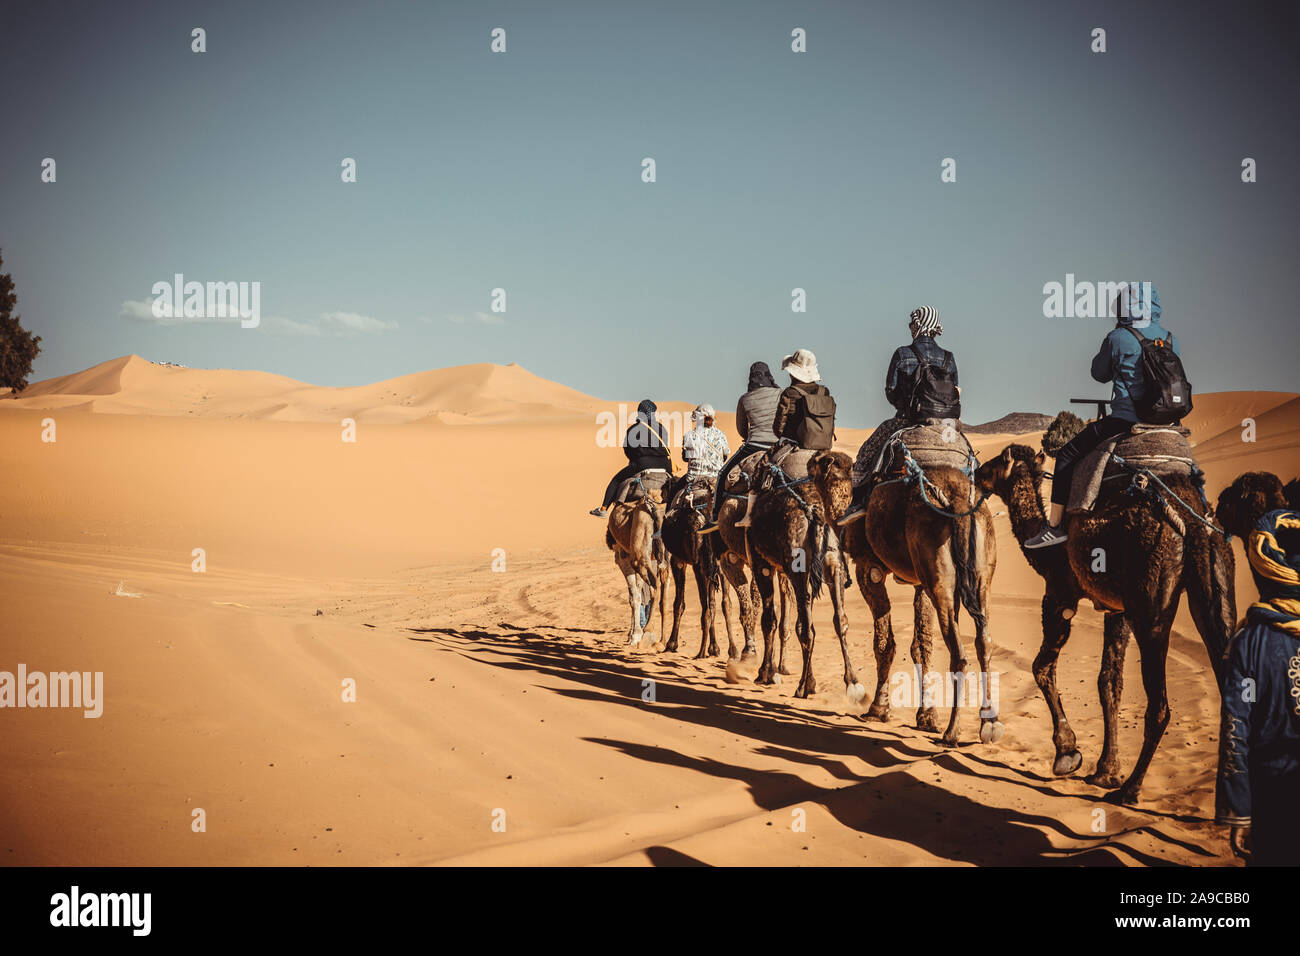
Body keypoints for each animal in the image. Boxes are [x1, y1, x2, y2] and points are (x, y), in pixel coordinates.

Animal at [605, 489, 670, 647]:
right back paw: (662, 641)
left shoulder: (623, 558)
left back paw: (648, 629)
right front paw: (633, 634)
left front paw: (634, 635)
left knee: (655, 584)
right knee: (665, 586)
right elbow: (639, 591)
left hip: (638, 556)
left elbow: (633, 596)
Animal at [743, 447, 863, 702]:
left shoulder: (762, 565)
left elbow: (770, 620)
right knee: (839, 620)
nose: (812, 460)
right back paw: (853, 683)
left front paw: (765, 674)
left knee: (807, 629)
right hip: (833, 566)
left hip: (798, 568)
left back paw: (801, 688)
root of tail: (815, 514)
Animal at [806, 447, 998, 749]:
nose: (809, 459)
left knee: (959, 653)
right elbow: (921, 644)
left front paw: (877, 708)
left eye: (821, 461)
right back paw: (989, 723)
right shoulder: (920, 582)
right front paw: (926, 715)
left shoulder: (867, 567)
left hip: (938, 570)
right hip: (979, 572)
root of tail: (957, 503)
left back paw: (952, 733)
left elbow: (884, 643)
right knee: (984, 641)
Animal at [977, 434, 1237, 806]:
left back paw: (1131, 789)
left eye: (998, 462)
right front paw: (1105, 770)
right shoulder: (1117, 611)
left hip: (1151, 604)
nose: (976, 471)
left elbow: (1041, 667)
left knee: (1160, 705)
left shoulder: (1060, 595)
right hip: (1216, 579)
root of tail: (1192, 523)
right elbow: (1108, 682)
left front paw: (1068, 753)